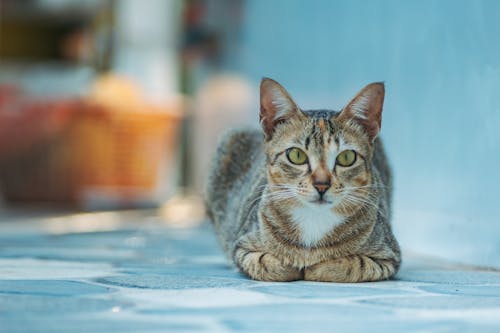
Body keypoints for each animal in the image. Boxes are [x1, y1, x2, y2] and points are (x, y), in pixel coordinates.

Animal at [205, 78, 400, 282]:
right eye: (296, 155)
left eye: (346, 157)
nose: (321, 185)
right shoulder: (242, 247)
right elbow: (268, 264)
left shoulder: (387, 256)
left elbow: (350, 265)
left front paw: (315, 267)